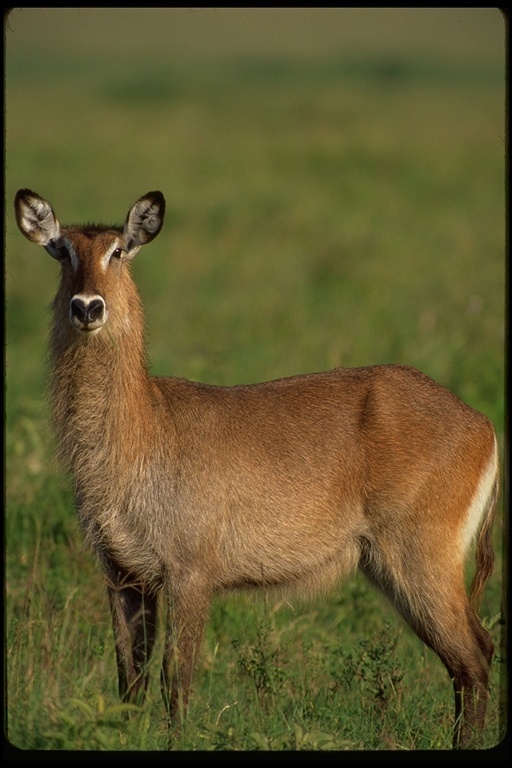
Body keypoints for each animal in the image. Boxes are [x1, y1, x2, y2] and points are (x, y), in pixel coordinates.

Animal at [14, 189, 498, 748]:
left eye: (118, 251)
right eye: (63, 251)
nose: (88, 306)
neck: (143, 426)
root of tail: (482, 423)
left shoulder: (189, 572)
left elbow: (175, 677)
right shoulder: (123, 575)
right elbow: (129, 679)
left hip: (421, 559)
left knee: (473, 657)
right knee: (473, 655)